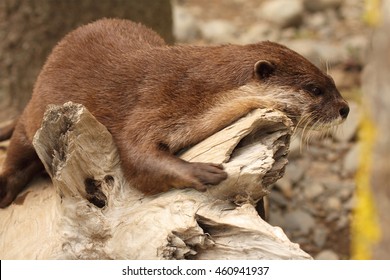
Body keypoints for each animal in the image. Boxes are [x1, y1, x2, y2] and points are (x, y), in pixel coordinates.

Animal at [0, 17, 348, 206]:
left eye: (332, 81)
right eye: (314, 89)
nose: (345, 108)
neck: (198, 88)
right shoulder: (156, 100)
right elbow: (136, 155)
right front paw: (201, 171)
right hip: (35, 114)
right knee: (18, 149)